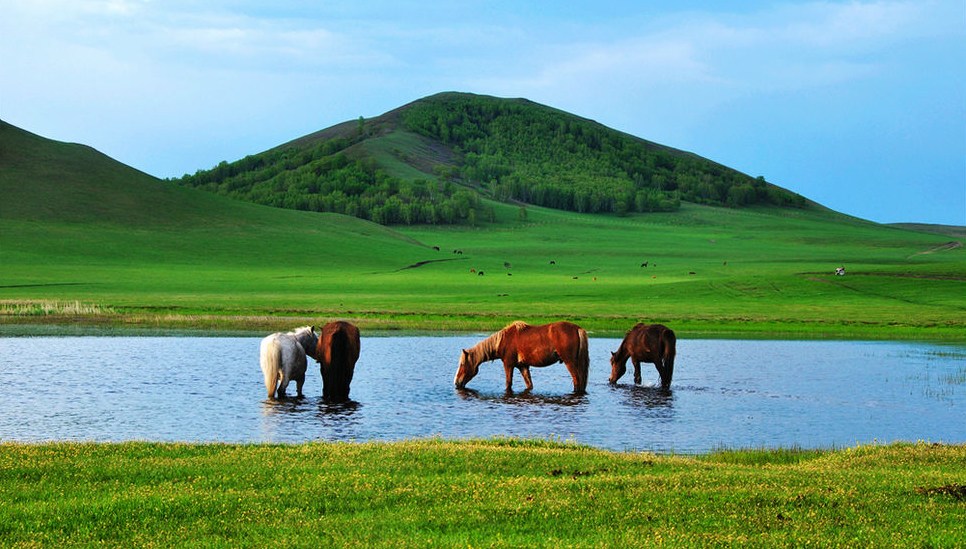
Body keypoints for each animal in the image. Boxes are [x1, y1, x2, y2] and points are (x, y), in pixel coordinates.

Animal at [454, 322, 588, 394]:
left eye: (462, 364)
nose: (456, 383)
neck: (503, 340)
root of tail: (577, 328)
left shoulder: (508, 364)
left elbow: (508, 383)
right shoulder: (523, 366)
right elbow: (529, 385)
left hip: (569, 362)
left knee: (577, 381)